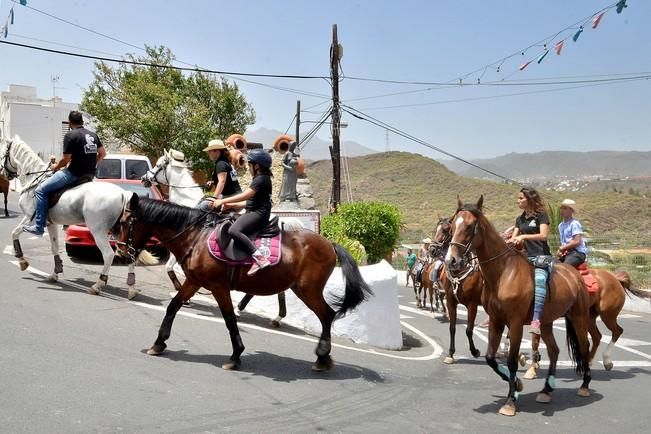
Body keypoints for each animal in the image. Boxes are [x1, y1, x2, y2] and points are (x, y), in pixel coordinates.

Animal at [0, 136, 155, 298]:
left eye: (4, 154)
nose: (4, 174)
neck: (34, 181)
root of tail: (122, 193)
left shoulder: (29, 218)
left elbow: (14, 233)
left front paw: (22, 261)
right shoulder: (51, 223)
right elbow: (54, 247)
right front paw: (55, 273)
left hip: (98, 231)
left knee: (108, 254)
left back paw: (98, 285)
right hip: (121, 231)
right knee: (130, 253)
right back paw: (131, 288)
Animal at [117, 195, 372, 372]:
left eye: (126, 221)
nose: (120, 251)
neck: (196, 236)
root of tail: (329, 243)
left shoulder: (218, 287)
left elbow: (229, 319)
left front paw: (235, 356)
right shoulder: (194, 281)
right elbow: (173, 307)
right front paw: (158, 343)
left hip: (308, 290)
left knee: (327, 315)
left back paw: (322, 357)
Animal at [432, 216, 484, 362]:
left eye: (446, 230)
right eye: (435, 229)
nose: (432, 249)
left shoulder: (472, 305)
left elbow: (469, 330)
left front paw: (474, 351)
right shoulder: (451, 301)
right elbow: (452, 327)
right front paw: (450, 354)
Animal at [448, 197, 592, 418]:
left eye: (470, 226)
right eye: (452, 225)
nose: (451, 260)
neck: (503, 273)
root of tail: (575, 274)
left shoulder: (514, 323)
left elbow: (512, 360)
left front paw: (509, 402)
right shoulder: (496, 321)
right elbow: (490, 358)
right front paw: (517, 385)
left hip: (579, 318)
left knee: (585, 347)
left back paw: (584, 386)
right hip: (546, 323)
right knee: (554, 351)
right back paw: (546, 390)